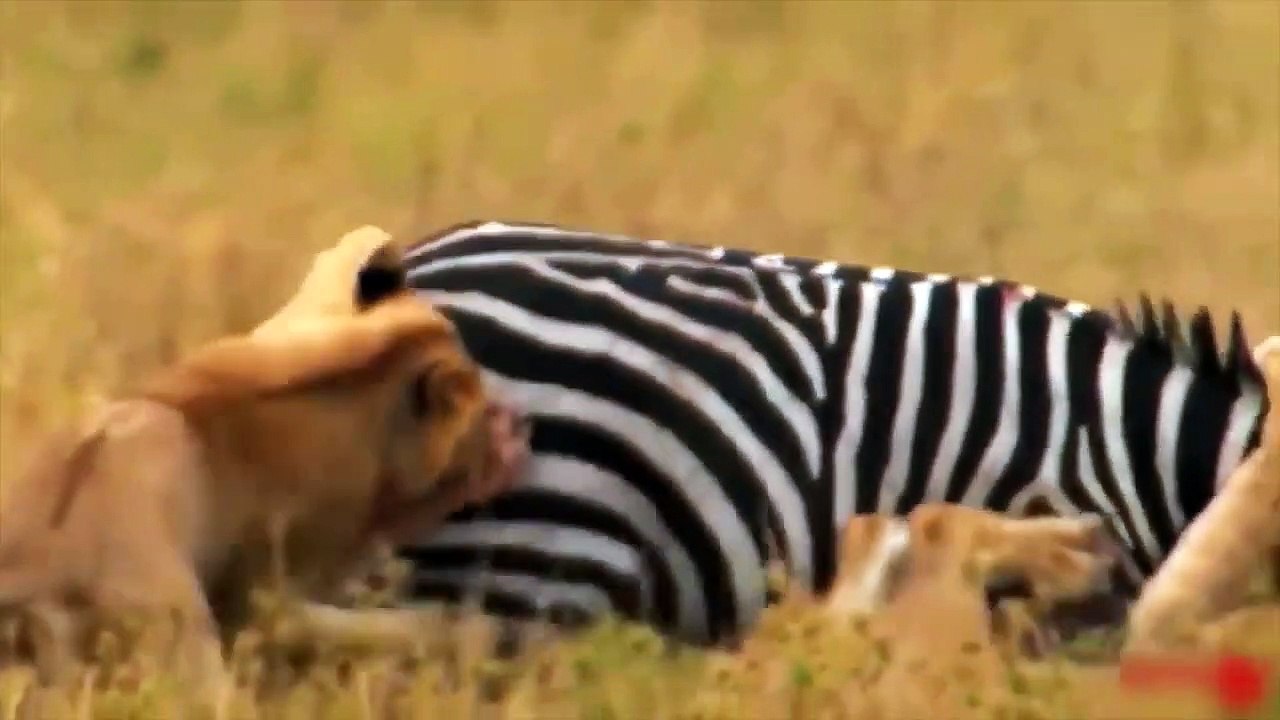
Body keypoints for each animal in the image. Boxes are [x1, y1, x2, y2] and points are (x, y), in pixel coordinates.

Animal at [0, 234, 531, 702]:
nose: (520, 428)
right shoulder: (269, 593)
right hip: (188, 648)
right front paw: (478, 634)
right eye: (486, 412)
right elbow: (385, 623)